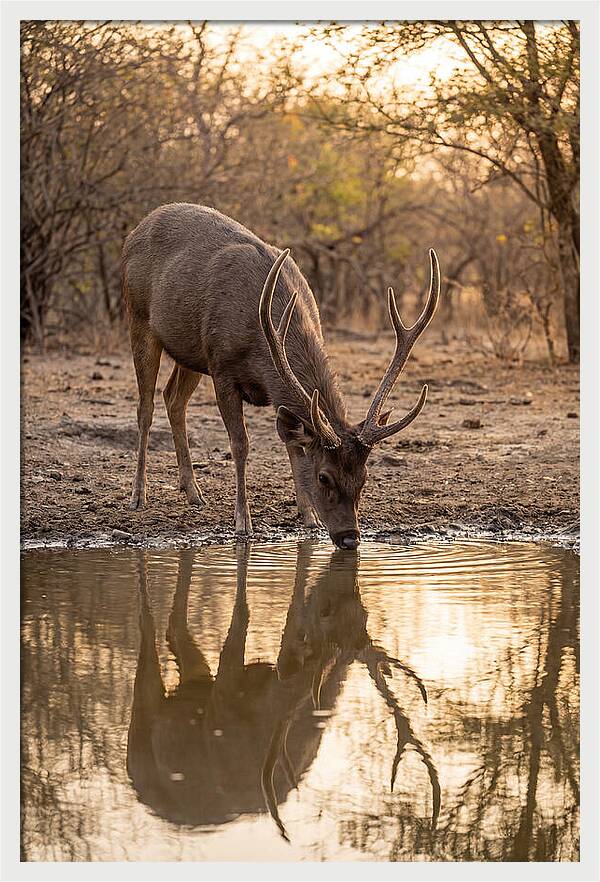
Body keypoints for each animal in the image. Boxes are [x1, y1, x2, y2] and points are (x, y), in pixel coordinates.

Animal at [122, 204, 440, 549]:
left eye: (364, 477)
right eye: (324, 476)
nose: (350, 538)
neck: (261, 341)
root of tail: (135, 230)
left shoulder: (264, 384)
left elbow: (293, 445)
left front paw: (309, 517)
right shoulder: (221, 367)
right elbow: (241, 444)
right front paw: (243, 523)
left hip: (190, 352)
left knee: (173, 398)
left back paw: (193, 492)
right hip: (139, 318)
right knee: (145, 407)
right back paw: (139, 495)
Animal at [126, 541, 440, 841]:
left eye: (365, 613)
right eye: (326, 610)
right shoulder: (221, 703)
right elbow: (245, 616)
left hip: (194, 683)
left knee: (175, 632)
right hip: (142, 732)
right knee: (147, 641)